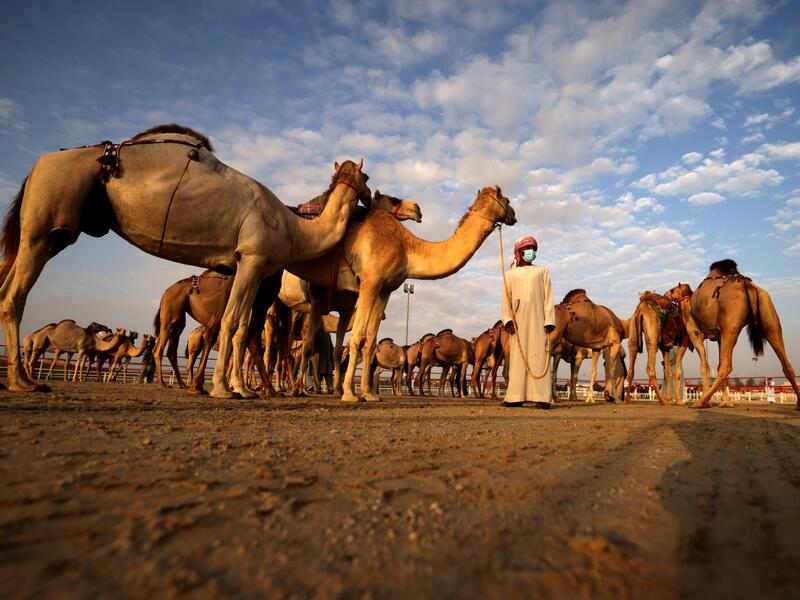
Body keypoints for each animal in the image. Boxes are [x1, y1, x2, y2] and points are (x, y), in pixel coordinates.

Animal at [0, 123, 371, 395]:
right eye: (366, 177)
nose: (371, 197)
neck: (294, 227)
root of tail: (39, 164)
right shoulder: (253, 258)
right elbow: (232, 324)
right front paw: (225, 388)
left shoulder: (251, 268)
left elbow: (238, 327)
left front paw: (238, 387)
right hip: (46, 222)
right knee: (14, 295)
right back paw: (22, 382)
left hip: (49, 233)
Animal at [287, 186, 516, 402]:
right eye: (507, 199)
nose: (514, 214)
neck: (406, 247)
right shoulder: (369, 281)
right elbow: (357, 337)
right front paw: (350, 394)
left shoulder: (384, 289)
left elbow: (370, 341)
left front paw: (368, 394)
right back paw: (296, 389)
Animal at [667, 260, 799, 409]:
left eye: (672, 290)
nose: (666, 295)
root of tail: (747, 285)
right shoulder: (718, 337)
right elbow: (714, 365)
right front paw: (725, 402)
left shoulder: (695, 335)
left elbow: (703, 366)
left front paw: (703, 400)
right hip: (768, 316)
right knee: (786, 363)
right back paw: (798, 403)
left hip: (729, 327)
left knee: (726, 366)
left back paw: (700, 402)